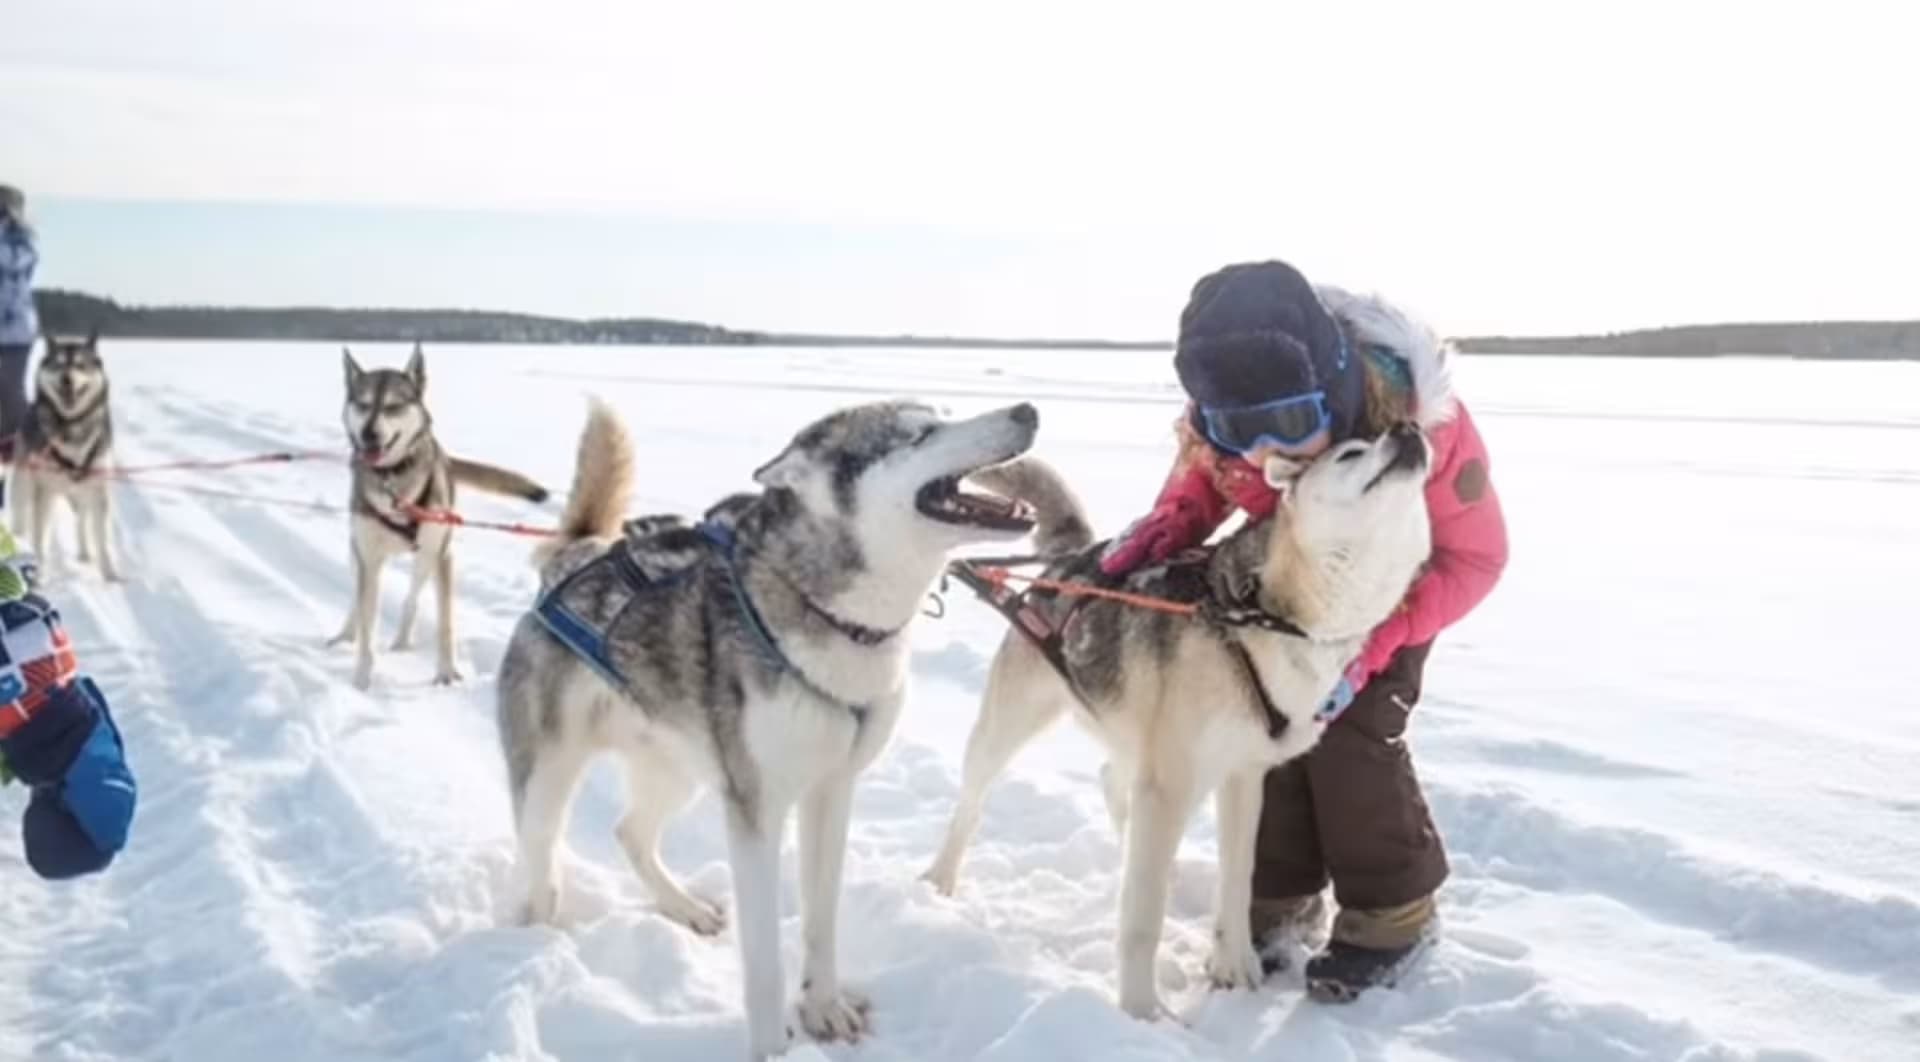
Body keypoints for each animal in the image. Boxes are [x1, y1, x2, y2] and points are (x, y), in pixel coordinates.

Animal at [11, 330, 120, 579]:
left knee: (82, 520)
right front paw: (40, 573)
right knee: (22, 518)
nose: (67, 379)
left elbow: (101, 537)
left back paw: (84, 552)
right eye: (58, 365)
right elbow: (40, 537)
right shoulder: (44, 490)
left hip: (81, 492)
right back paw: (17, 544)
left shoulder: (97, 487)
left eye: (80, 365)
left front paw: (109, 574)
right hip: (25, 486)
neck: (73, 426)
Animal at [330, 345, 549, 687]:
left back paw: (402, 641)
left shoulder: (442, 555)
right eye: (363, 404)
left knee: (411, 600)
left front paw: (446, 672)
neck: (394, 482)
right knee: (358, 600)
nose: (369, 435)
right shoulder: (368, 557)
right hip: (359, 555)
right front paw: (362, 678)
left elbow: (445, 623)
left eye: (394, 406)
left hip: (425, 560)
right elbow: (368, 624)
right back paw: (346, 634)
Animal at [495, 395, 1036, 1052]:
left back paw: (682, 907)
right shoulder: (755, 812)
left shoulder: (831, 791)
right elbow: (763, 963)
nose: (1027, 410)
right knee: (541, 860)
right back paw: (531, 932)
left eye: (941, 414)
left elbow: (821, 921)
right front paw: (772, 1048)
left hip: (680, 772)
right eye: (919, 434)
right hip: (549, 784)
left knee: (630, 833)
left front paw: (824, 1008)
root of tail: (578, 557)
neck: (834, 618)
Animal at [921, 422, 1436, 1021]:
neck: (1264, 615)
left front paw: (1234, 966)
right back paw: (939, 880)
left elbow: (1237, 880)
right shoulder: (1170, 781)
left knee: (1112, 784)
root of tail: (1071, 558)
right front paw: (1141, 1012)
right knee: (972, 804)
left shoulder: (1243, 778)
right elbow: (1143, 918)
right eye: (1352, 452)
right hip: (1009, 727)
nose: (1407, 427)